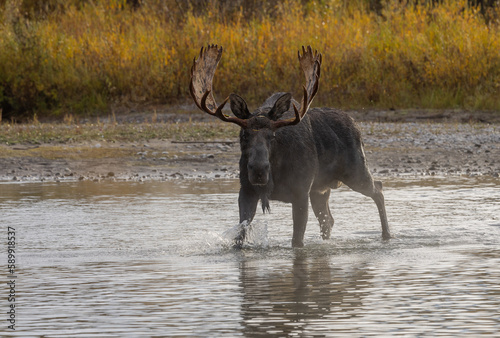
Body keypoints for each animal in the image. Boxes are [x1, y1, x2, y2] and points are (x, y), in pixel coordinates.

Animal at [189, 44, 388, 248]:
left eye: (273, 136)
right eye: (244, 135)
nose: (259, 170)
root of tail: (356, 125)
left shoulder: (301, 191)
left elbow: (297, 240)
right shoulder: (246, 190)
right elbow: (240, 235)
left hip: (356, 172)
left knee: (378, 189)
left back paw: (386, 235)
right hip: (320, 189)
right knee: (328, 220)